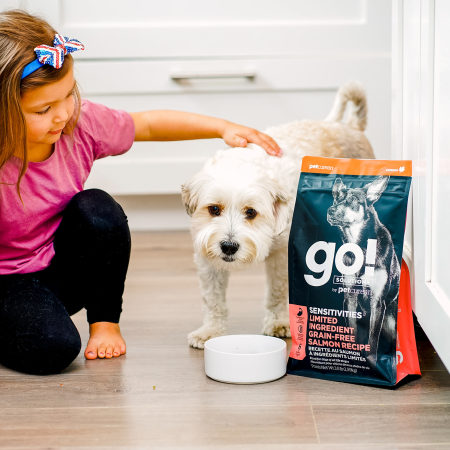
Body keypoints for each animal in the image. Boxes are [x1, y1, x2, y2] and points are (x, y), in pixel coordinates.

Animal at [181, 82, 374, 348]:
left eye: (251, 212)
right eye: (214, 209)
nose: (229, 246)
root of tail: (351, 126)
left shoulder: (281, 254)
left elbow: (277, 291)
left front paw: (279, 323)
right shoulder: (206, 257)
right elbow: (212, 299)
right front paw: (210, 330)